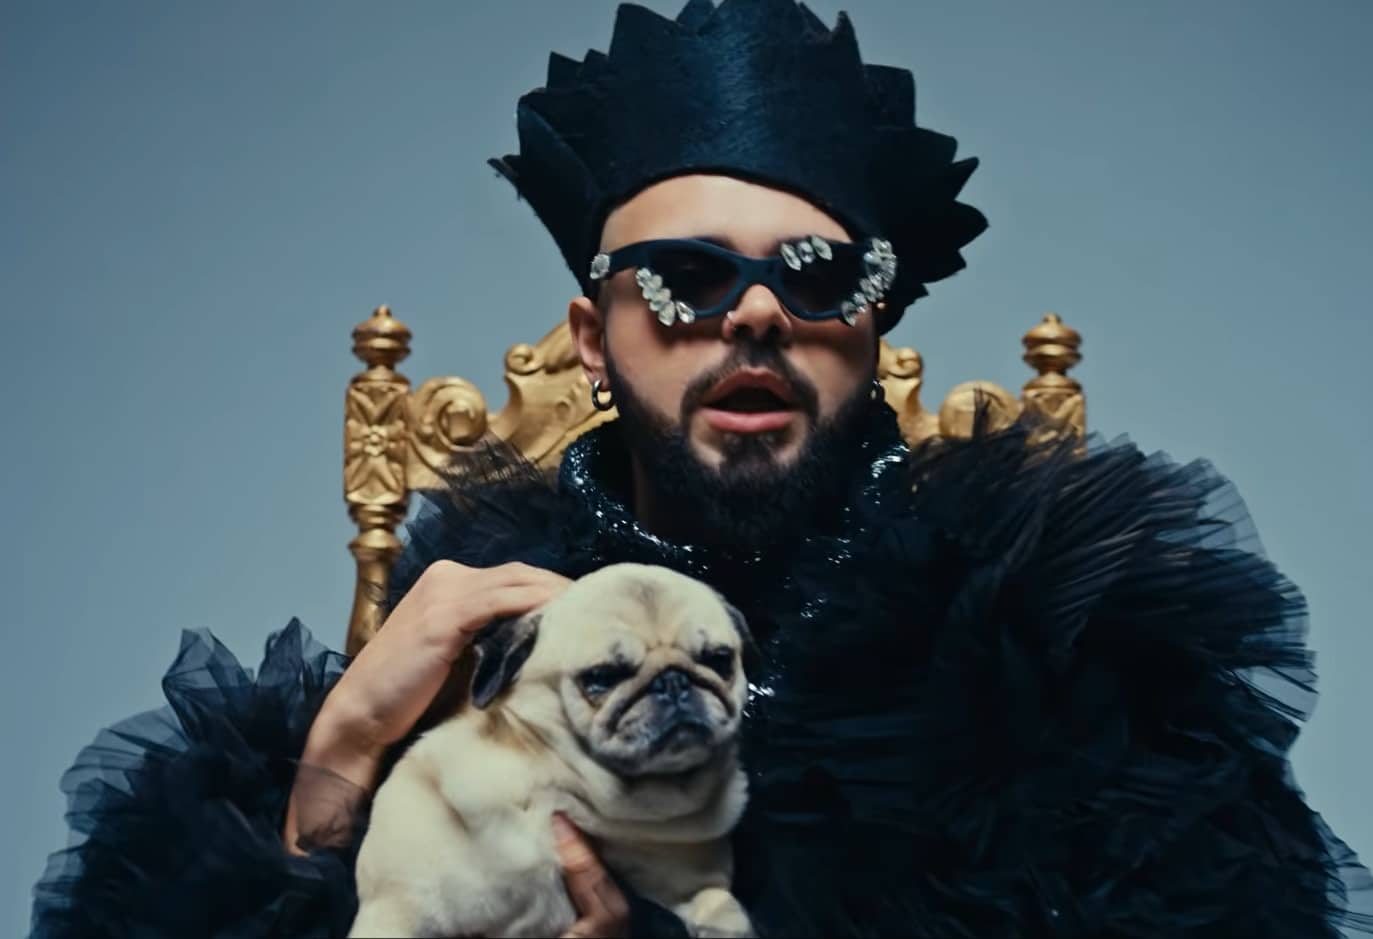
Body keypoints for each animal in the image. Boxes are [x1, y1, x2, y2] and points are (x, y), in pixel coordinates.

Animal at [348, 562, 754, 938]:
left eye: (719, 660)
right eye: (602, 677)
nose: (673, 681)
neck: (570, 797)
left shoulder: (694, 885)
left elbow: (719, 905)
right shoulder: (397, 911)